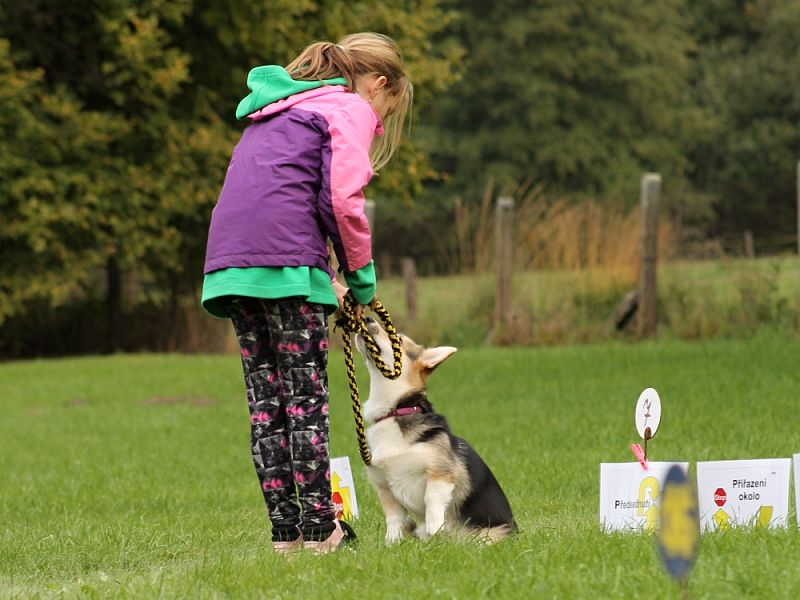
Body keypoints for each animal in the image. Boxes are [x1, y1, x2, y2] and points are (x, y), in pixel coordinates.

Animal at [356, 318, 520, 544]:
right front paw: (392, 542)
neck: (396, 410)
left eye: (398, 338)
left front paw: (434, 527)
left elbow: (431, 498)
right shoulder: (384, 485)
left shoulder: (440, 472)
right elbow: (393, 517)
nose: (367, 318)